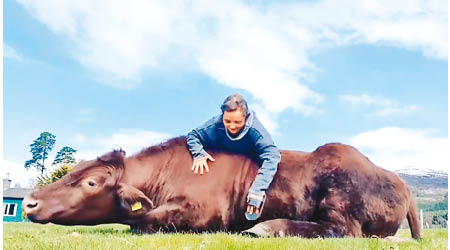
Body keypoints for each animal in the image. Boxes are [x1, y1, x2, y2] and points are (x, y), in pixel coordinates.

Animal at [22, 137, 420, 238]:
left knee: (344, 231)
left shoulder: (203, 214)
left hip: (340, 203)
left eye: (91, 182)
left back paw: (266, 228)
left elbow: (145, 220)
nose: (28, 203)